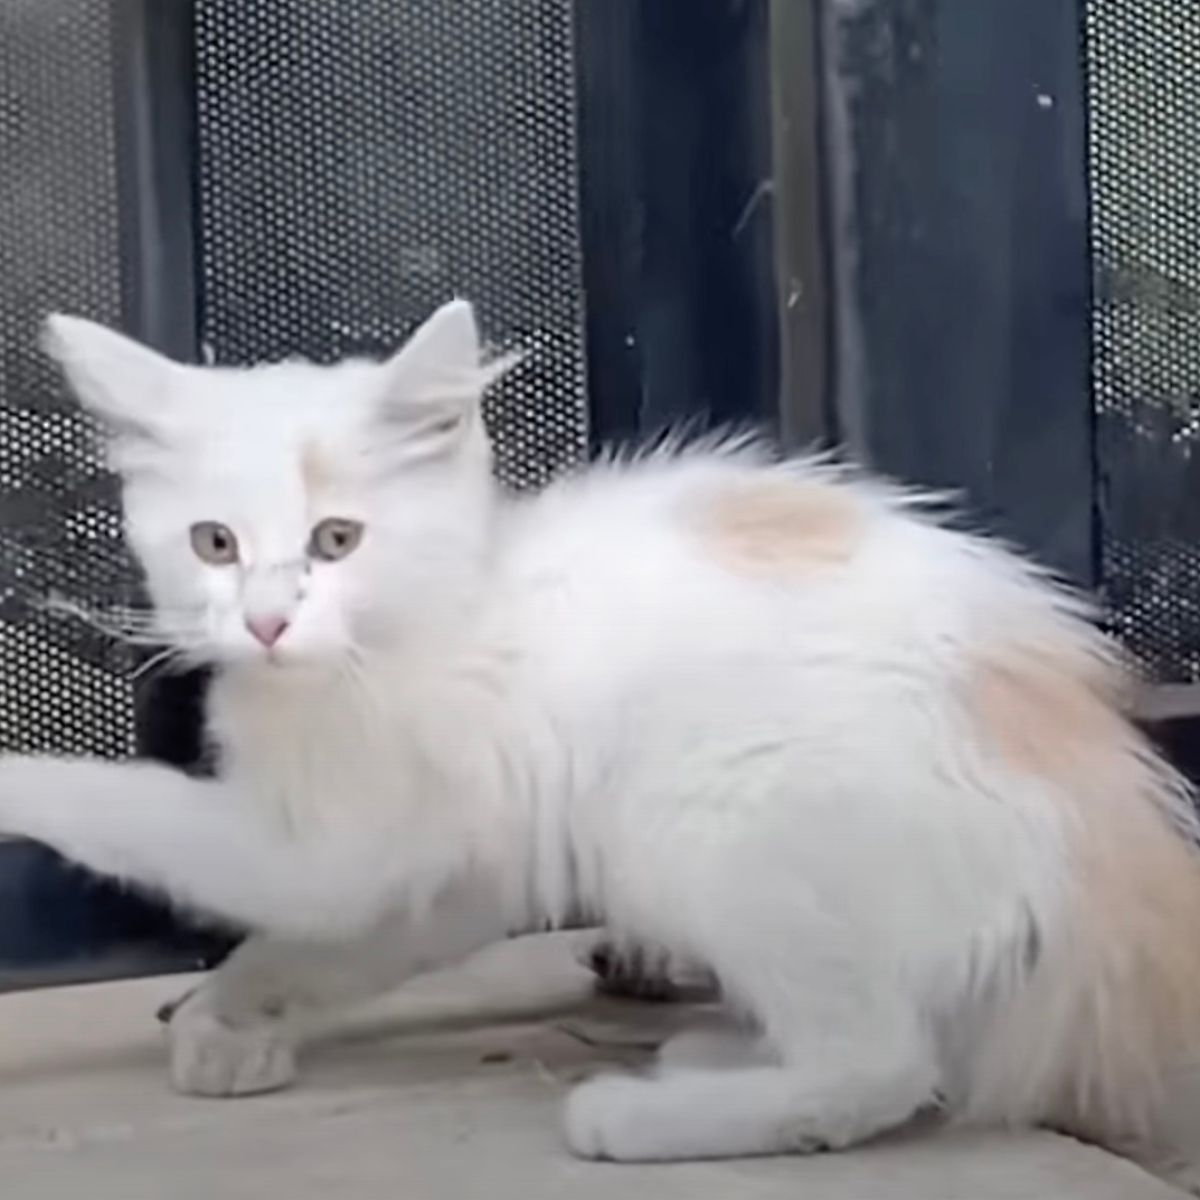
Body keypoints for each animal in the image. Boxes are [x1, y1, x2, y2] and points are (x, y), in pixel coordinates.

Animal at [7, 302, 1200, 1190]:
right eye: (212, 543)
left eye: (336, 540)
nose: (262, 623)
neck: (438, 611)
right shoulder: (458, 856)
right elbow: (339, 943)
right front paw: (234, 1014)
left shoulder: (335, 848)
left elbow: (155, 825)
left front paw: (21, 784)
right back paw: (723, 1050)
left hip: (709, 807)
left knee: (882, 1064)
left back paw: (653, 1116)